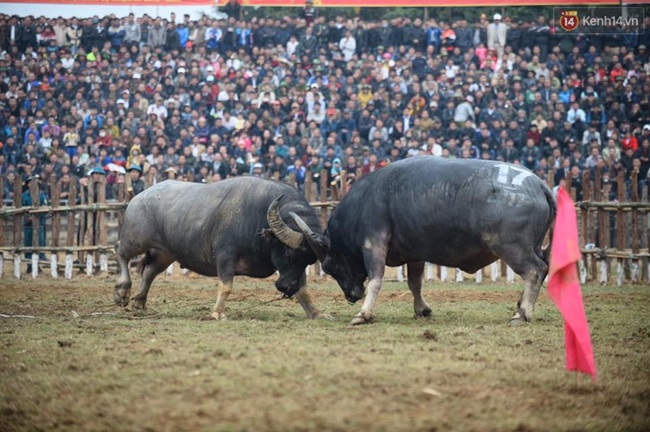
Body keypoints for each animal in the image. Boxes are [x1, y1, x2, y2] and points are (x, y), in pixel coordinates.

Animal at [114, 176, 326, 320]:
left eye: (309, 261)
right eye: (290, 256)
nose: (287, 288)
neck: (257, 218)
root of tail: (139, 197)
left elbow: (303, 290)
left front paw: (316, 313)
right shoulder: (225, 256)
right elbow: (226, 286)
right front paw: (217, 313)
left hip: (165, 253)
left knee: (149, 271)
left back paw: (139, 301)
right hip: (135, 239)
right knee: (120, 251)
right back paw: (122, 291)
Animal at [292, 157, 556, 326]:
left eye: (329, 267)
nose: (351, 296)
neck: (365, 201)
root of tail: (538, 184)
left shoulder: (374, 243)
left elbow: (376, 279)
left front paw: (363, 314)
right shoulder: (415, 254)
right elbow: (414, 283)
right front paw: (422, 309)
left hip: (512, 248)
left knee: (535, 271)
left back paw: (522, 314)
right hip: (533, 246)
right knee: (541, 269)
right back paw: (519, 306)